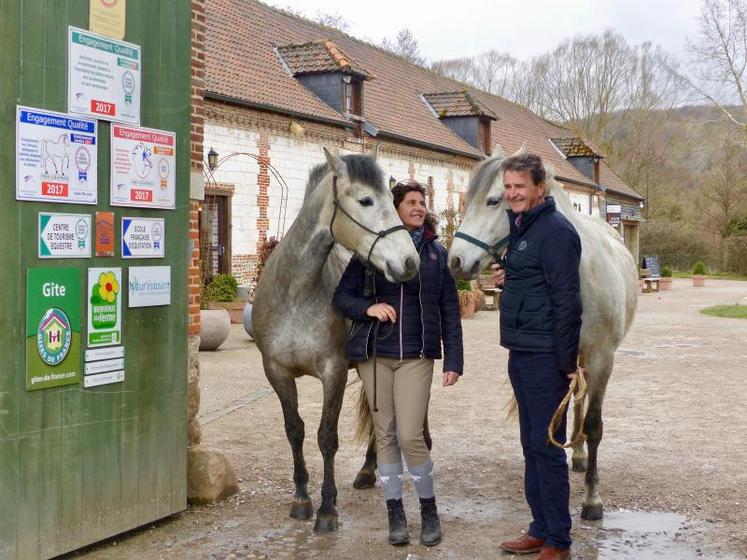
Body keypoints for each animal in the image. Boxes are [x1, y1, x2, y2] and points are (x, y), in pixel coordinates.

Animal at [251, 148, 420, 532]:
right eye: (366, 200)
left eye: (392, 198)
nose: (409, 261)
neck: (296, 293)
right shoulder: (276, 371)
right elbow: (295, 430)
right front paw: (301, 499)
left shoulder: (334, 372)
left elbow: (326, 437)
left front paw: (327, 509)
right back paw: (368, 470)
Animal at [447, 145, 638, 520]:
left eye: (494, 200)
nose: (456, 261)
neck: (580, 274)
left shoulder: (602, 359)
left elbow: (594, 425)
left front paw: (592, 499)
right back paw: (576, 455)